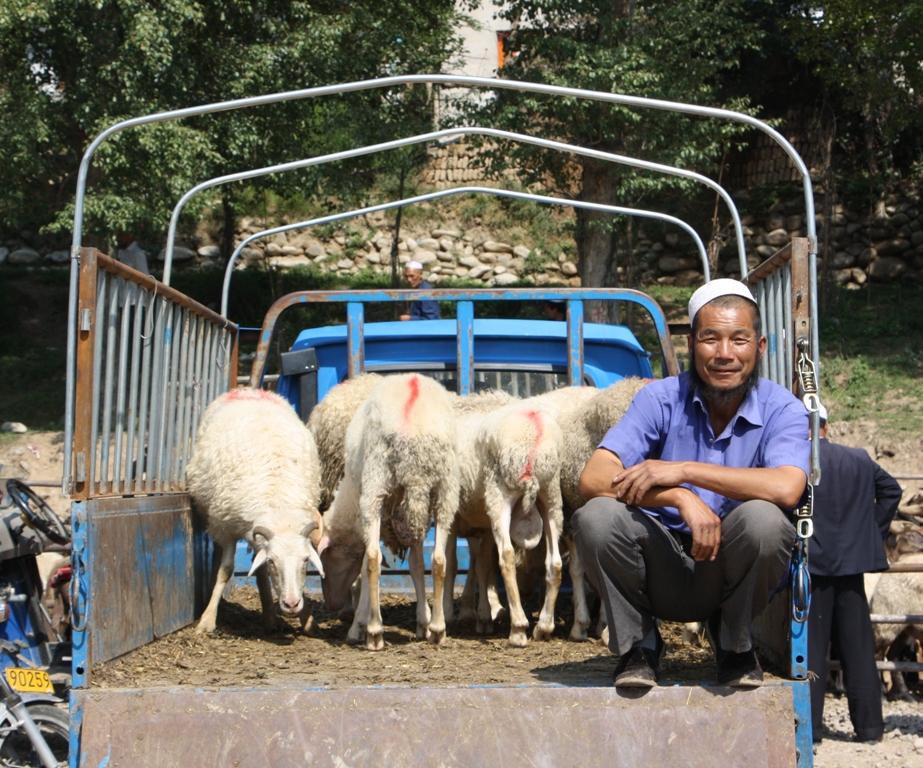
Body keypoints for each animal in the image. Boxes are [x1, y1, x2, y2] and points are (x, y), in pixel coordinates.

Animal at [187, 390, 324, 636]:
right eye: (272, 562)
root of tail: (250, 390)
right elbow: (226, 570)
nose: (291, 604)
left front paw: (307, 619)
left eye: (306, 561)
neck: (280, 508)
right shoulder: (227, 527)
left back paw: (270, 617)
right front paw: (207, 620)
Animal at [320, 376, 460, 652]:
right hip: (444, 489)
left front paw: (358, 626)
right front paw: (423, 623)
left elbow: (366, 564)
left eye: (325, 560)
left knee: (374, 560)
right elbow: (417, 566)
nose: (331, 605)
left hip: (376, 485)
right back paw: (439, 630)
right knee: (439, 560)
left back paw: (375, 633)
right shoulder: (409, 516)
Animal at [452, 402, 564, 648]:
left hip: (500, 493)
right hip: (550, 493)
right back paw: (543, 627)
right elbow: (480, 563)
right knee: (555, 562)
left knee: (507, 557)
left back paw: (518, 628)